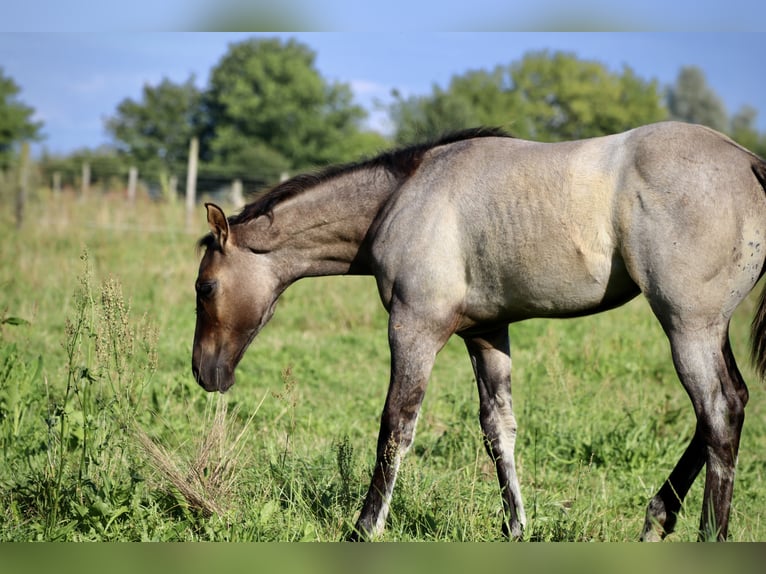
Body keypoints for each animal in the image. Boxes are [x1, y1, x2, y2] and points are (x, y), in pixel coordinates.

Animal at [190, 122, 766, 544]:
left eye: (204, 286)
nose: (204, 372)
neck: (404, 197)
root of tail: (749, 162)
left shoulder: (415, 328)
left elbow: (395, 428)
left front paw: (363, 529)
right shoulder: (486, 332)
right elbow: (498, 429)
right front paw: (515, 526)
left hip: (687, 326)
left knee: (719, 412)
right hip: (706, 329)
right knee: (727, 406)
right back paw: (656, 519)